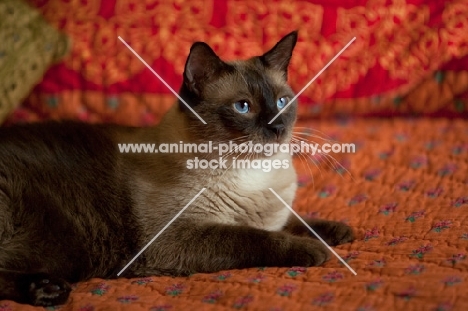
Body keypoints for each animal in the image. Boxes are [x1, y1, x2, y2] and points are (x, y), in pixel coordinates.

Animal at [0, 31, 352, 308]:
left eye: (281, 102)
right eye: (243, 107)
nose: (278, 128)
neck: (252, 175)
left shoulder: (272, 215)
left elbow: (295, 221)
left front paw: (340, 232)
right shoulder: (176, 238)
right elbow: (255, 238)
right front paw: (316, 251)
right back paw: (49, 291)